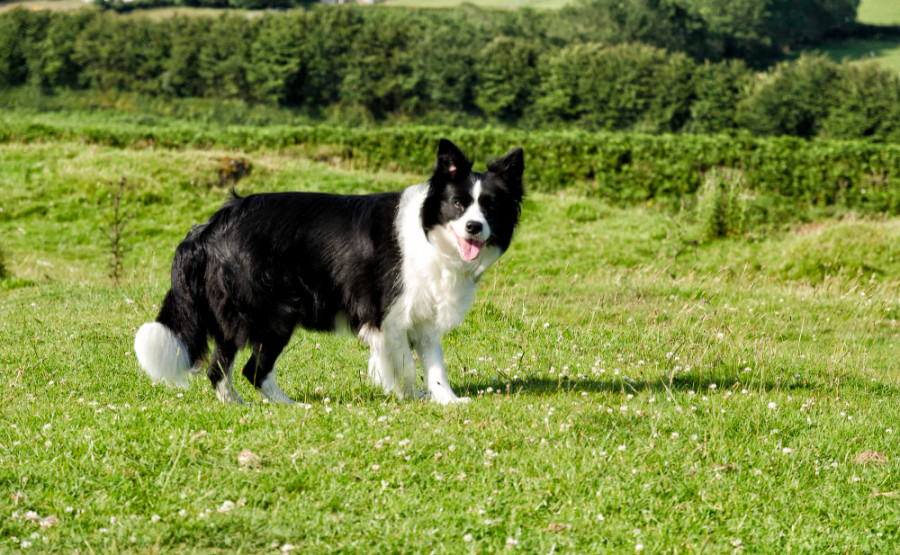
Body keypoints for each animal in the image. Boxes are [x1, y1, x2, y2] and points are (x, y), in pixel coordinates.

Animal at [136, 140, 524, 404]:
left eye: (490, 207)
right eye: (458, 204)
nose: (474, 227)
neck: (430, 233)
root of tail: (210, 225)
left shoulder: (424, 313)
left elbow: (435, 364)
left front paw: (447, 400)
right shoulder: (391, 315)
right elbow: (405, 365)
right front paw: (411, 397)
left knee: (230, 367)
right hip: (270, 314)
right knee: (242, 368)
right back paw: (275, 405)